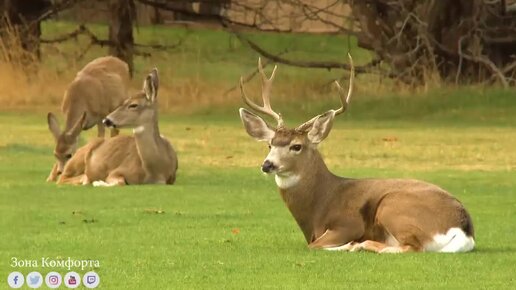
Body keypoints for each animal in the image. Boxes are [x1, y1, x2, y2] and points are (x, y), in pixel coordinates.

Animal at [238, 55, 476, 253]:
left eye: (296, 146)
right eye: (270, 145)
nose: (267, 164)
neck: (320, 202)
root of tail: (464, 229)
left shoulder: (348, 223)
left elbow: (315, 245)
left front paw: (350, 244)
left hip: (392, 205)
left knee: (412, 247)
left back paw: (362, 245)